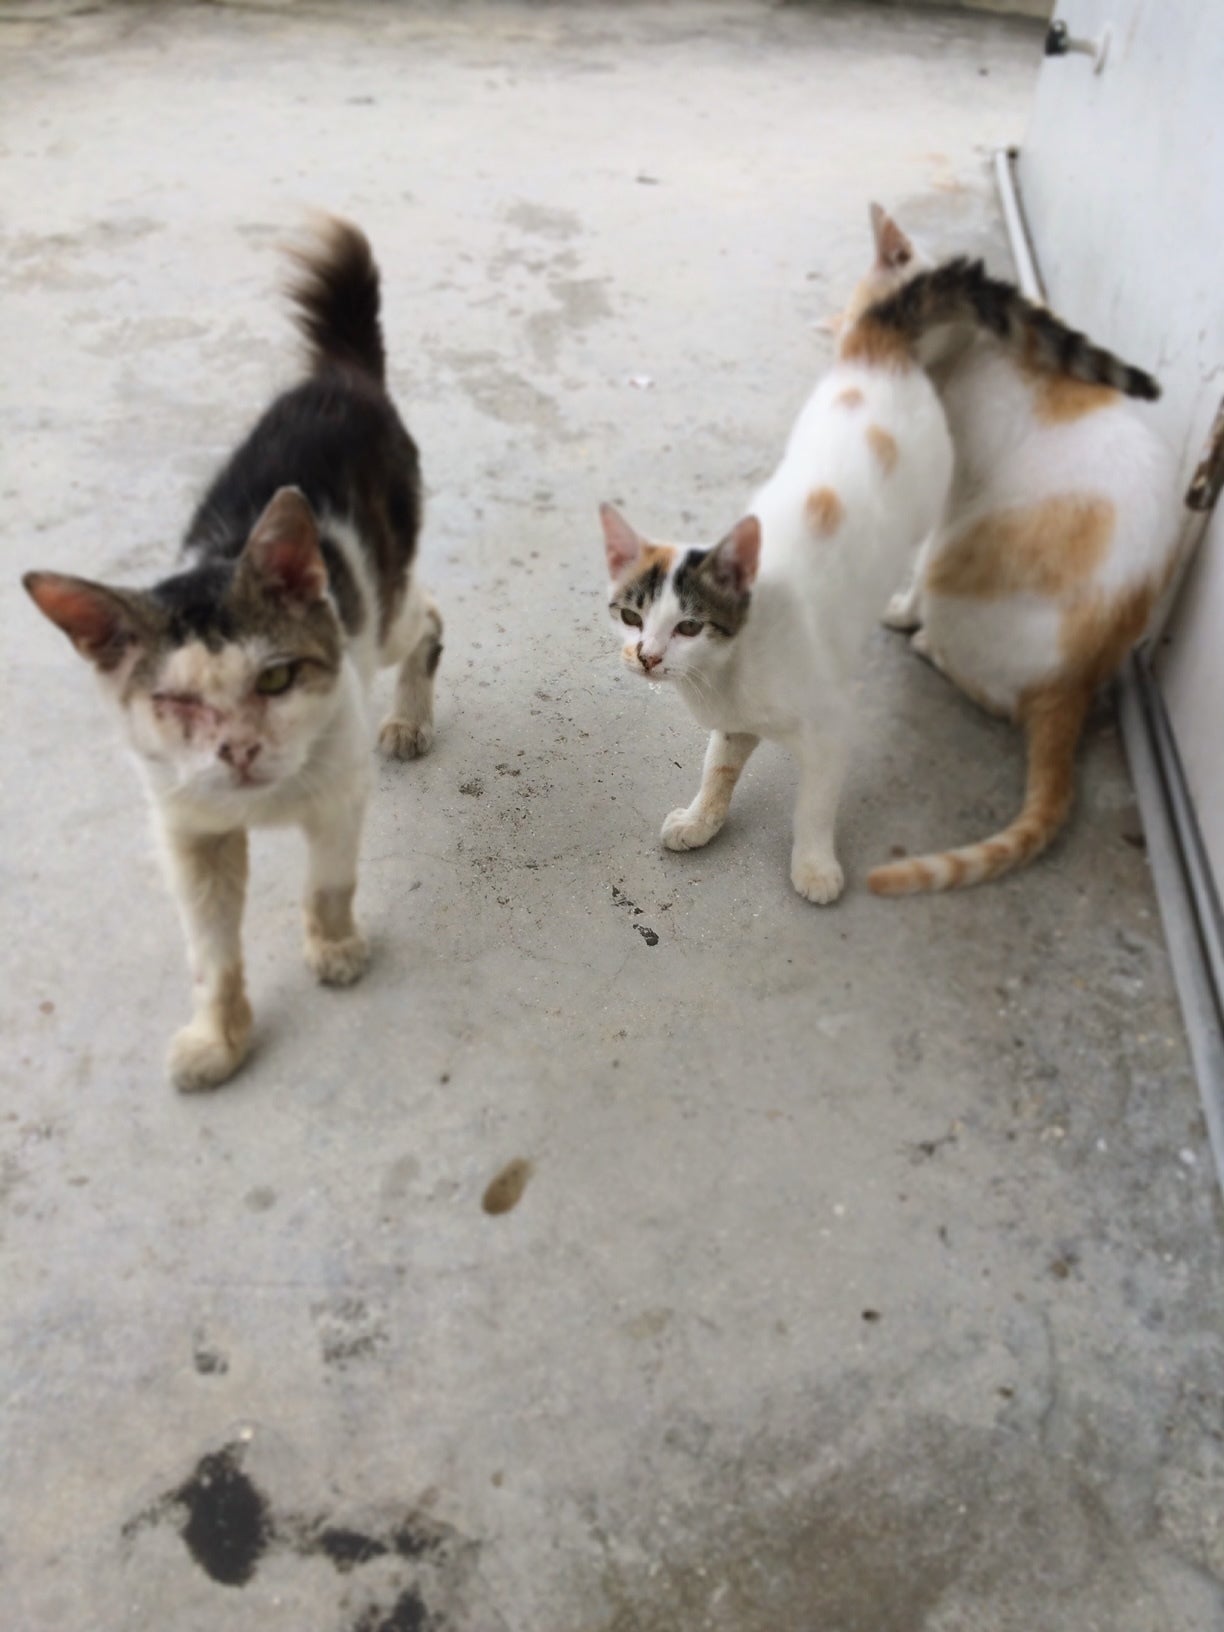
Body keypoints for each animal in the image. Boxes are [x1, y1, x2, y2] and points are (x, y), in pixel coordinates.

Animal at [24, 217, 442, 1092]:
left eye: (277, 677)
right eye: (174, 703)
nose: (240, 751)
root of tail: (337, 375)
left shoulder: (339, 792)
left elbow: (328, 883)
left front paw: (335, 948)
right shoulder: (187, 830)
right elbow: (209, 951)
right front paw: (219, 1037)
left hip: (381, 612)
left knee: (425, 618)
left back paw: (410, 719)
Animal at [857, 205, 1179, 894]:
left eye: (880, 315)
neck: (969, 350)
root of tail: (1077, 682)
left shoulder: (950, 489)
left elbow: (918, 560)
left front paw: (899, 611)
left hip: (959, 575)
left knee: (997, 695)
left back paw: (928, 642)